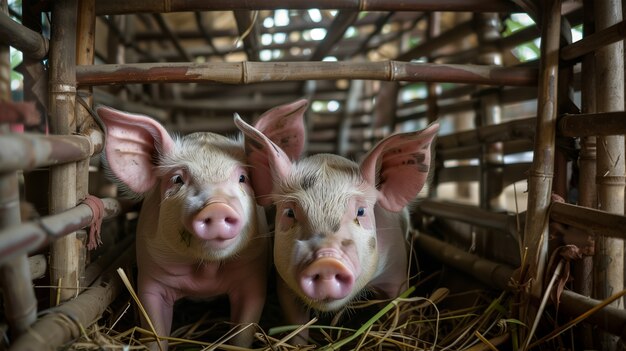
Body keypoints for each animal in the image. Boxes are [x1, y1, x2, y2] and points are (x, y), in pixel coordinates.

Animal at [96, 99, 308, 351]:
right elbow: (154, 328)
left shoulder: (253, 277)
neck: (206, 274)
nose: (216, 206)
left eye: (243, 178)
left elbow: (243, 330)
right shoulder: (150, 278)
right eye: (177, 179)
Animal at [232, 103, 436, 340]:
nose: (326, 260)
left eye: (361, 211)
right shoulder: (284, 283)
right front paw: (301, 342)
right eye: (290, 213)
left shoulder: (397, 267)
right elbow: (296, 321)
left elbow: (400, 303)